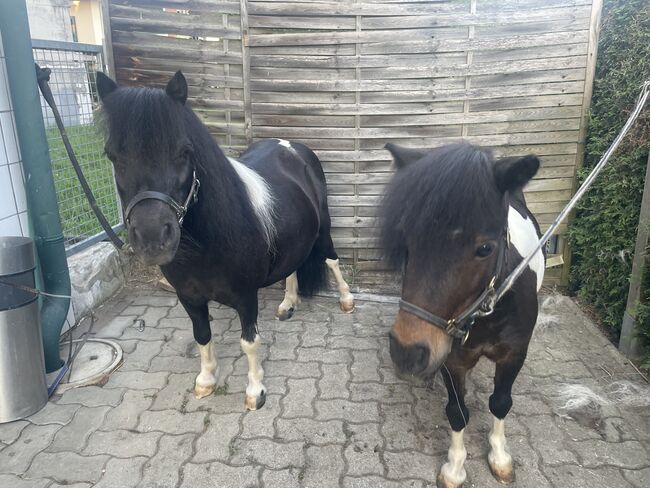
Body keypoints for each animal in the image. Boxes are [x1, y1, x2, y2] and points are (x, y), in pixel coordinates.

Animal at [95, 71, 354, 410]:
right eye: (113, 156)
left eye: (184, 152)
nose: (152, 238)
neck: (206, 246)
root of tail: (294, 147)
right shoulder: (188, 296)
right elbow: (202, 335)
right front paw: (206, 380)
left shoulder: (245, 296)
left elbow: (249, 342)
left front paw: (255, 391)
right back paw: (287, 304)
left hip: (323, 229)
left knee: (331, 259)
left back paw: (347, 300)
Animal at [380, 143, 544, 487]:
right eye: (407, 241)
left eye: (485, 248)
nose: (406, 352)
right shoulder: (451, 360)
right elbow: (457, 411)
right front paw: (455, 467)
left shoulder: (514, 354)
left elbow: (500, 402)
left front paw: (500, 456)